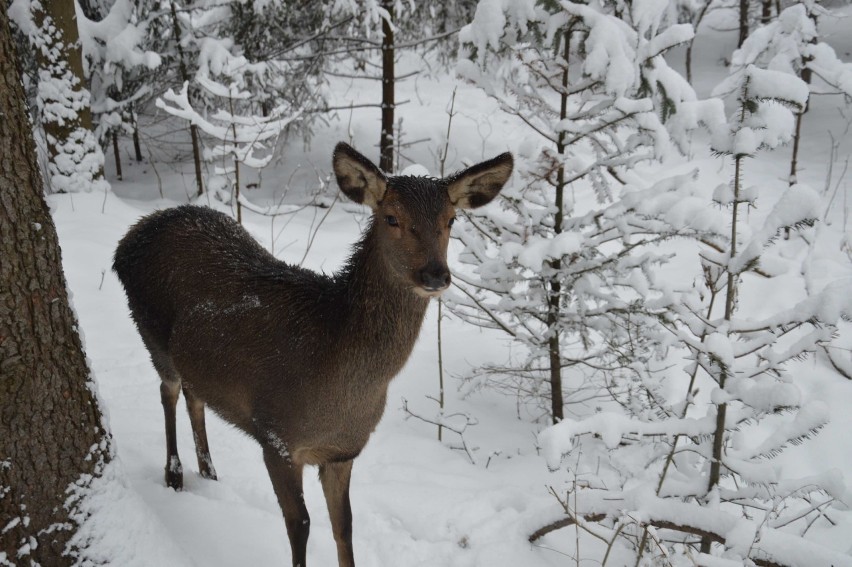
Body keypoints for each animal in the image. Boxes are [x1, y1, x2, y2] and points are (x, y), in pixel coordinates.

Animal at [112, 143, 512, 567]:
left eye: (451, 220)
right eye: (391, 217)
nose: (435, 274)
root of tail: (130, 238)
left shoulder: (342, 452)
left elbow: (345, 526)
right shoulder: (276, 437)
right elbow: (300, 524)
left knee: (194, 395)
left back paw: (208, 471)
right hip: (149, 328)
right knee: (168, 391)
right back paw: (174, 474)